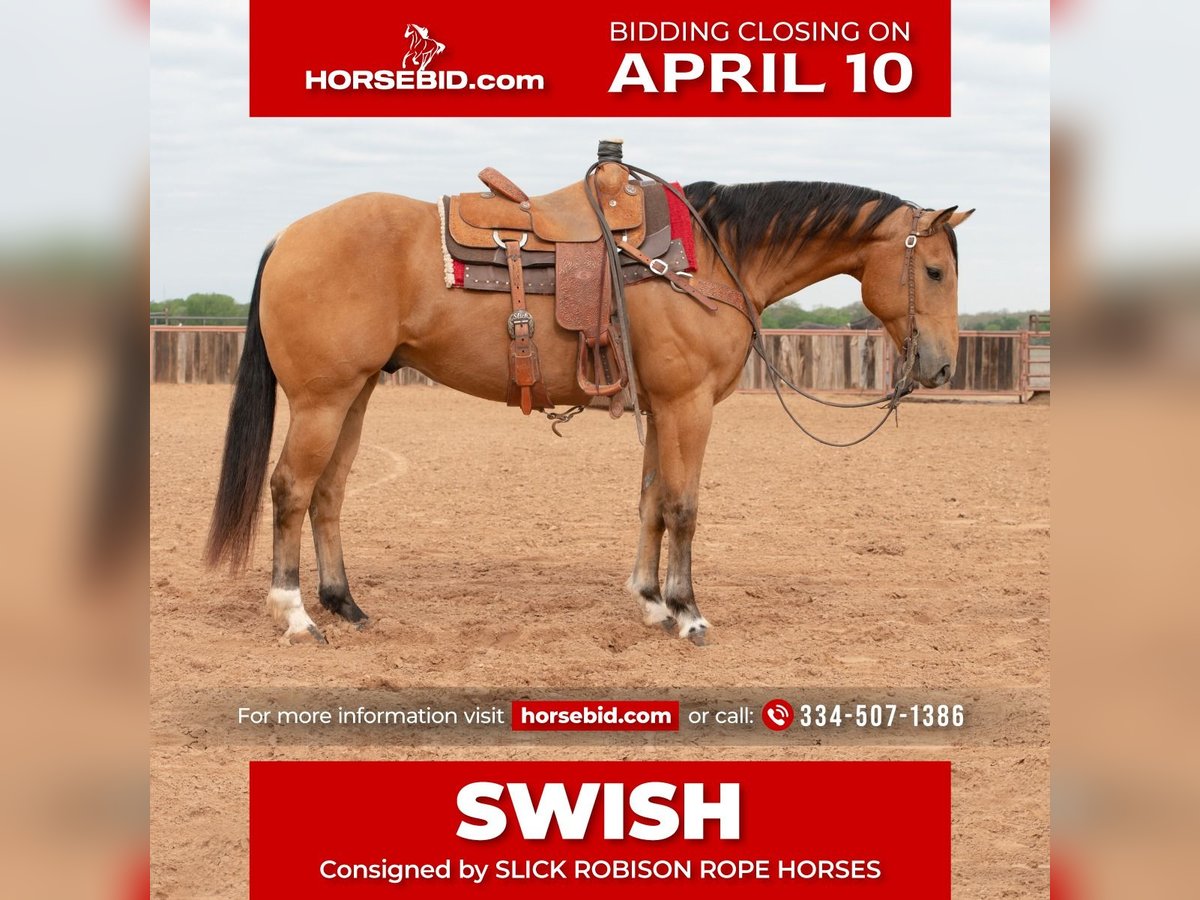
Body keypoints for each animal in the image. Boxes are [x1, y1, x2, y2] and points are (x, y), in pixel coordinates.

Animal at [204, 177, 973, 645]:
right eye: (935, 270)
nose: (939, 366)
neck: (709, 261)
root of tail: (288, 236)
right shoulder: (689, 405)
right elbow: (684, 505)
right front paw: (689, 614)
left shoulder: (661, 408)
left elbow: (651, 501)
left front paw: (652, 600)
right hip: (322, 399)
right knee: (291, 489)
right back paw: (296, 614)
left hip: (356, 394)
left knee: (328, 493)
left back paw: (345, 604)